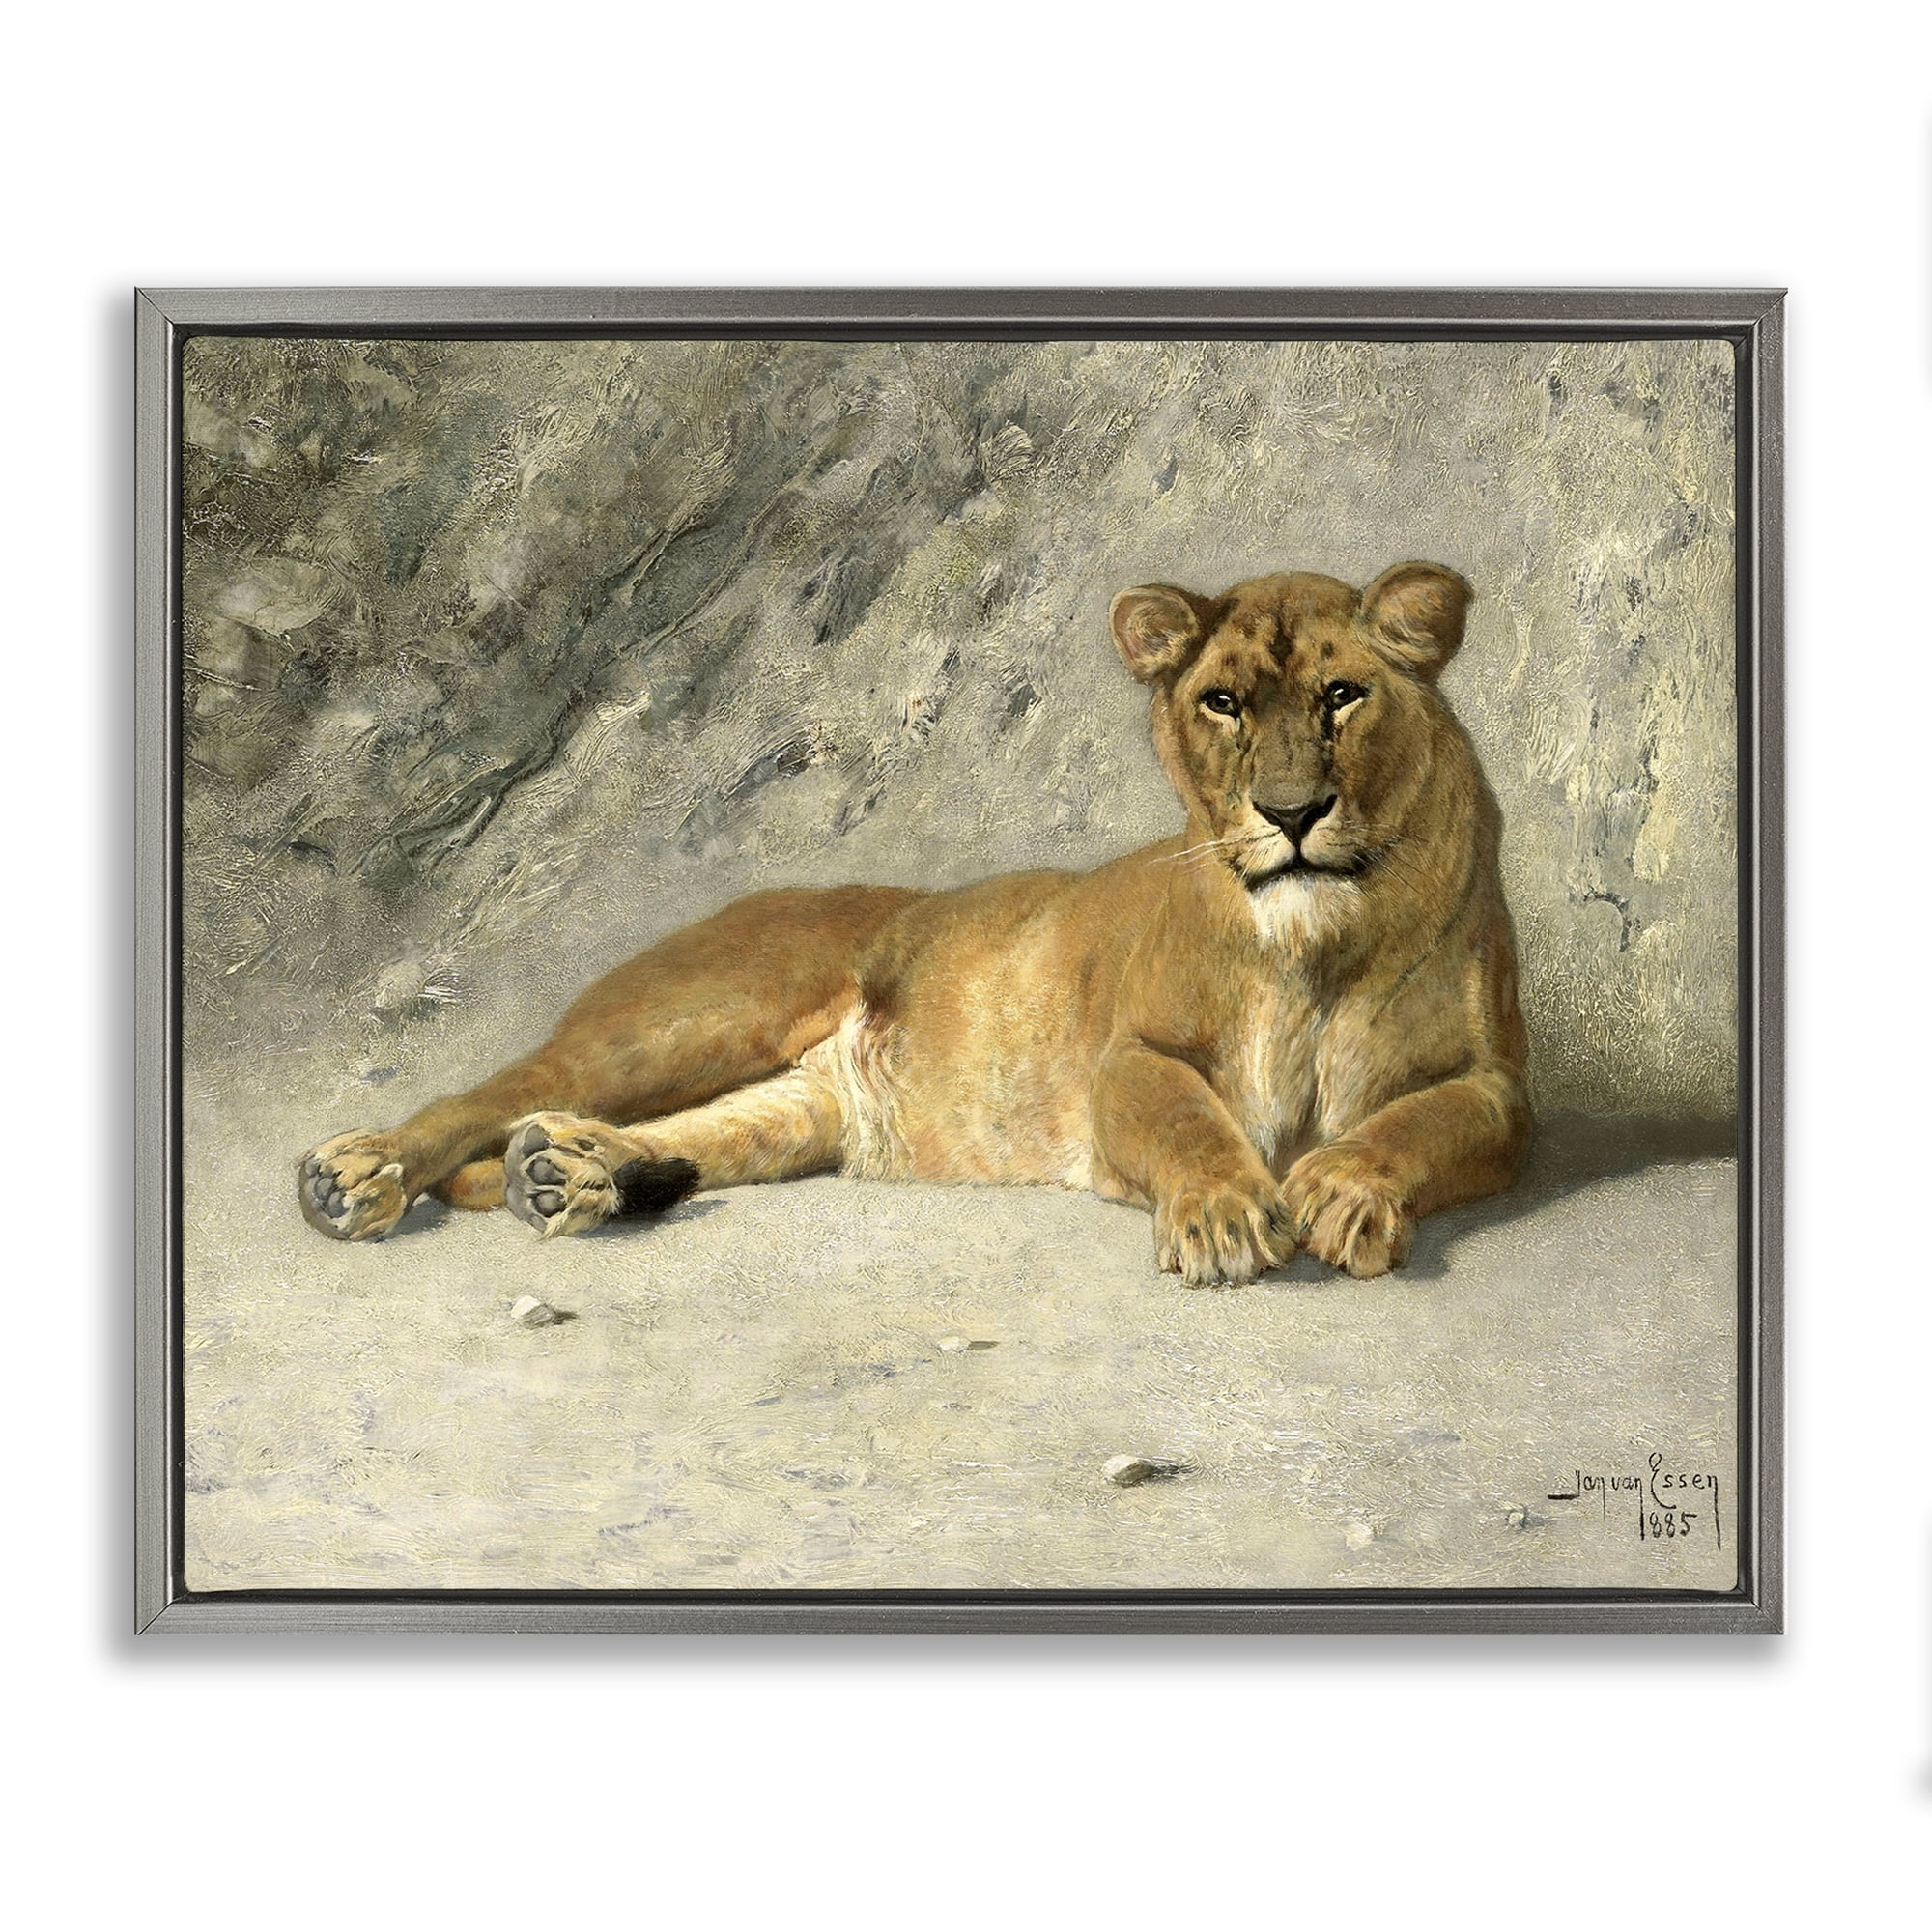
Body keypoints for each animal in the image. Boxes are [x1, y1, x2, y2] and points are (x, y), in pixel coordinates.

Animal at [297, 563, 1529, 1282]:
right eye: (1221, 702)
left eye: (1341, 696)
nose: (1290, 812)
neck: (1315, 941)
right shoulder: (1128, 1057)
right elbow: (1188, 1118)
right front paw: (1227, 1214)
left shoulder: (1497, 1088)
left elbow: (1416, 1123)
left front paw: (1343, 1187)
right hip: (688, 1017)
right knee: (499, 1092)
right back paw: (357, 1175)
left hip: (797, 1109)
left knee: (677, 1134)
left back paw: (571, 1175)